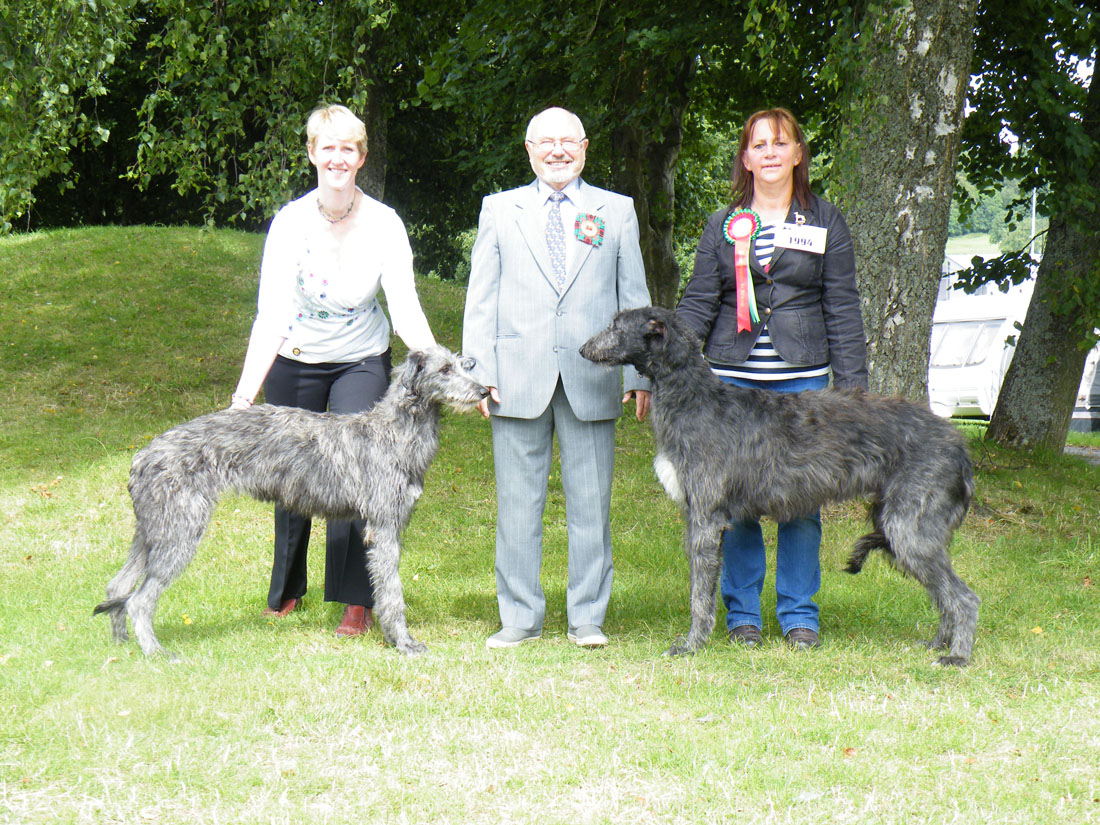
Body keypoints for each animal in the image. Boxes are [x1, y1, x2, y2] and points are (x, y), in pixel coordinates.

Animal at [94, 347, 490, 660]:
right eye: (444, 369)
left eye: (463, 364)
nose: (484, 390)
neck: (393, 433)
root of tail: (141, 457)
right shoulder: (384, 527)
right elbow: (392, 592)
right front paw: (404, 643)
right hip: (180, 531)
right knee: (138, 599)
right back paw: (156, 653)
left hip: (152, 530)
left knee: (117, 587)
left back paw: (120, 645)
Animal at [580, 308, 985, 668]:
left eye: (615, 325)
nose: (583, 349)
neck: (693, 396)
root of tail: (960, 447)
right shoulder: (701, 516)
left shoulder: (706, 518)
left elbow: (700, 593)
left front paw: (691, 645)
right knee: (944, 595)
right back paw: (937, 643)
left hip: (909, 527)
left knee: (963, 598)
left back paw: (957, 656)